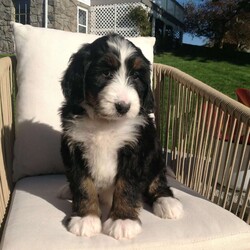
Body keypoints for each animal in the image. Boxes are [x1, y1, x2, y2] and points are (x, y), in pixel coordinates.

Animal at [59, 34, 183, 239]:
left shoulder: (136, 149)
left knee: (157, 180)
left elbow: (126, 186)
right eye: (106, 73)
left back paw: (167, 202)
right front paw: (86, 218)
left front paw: (123, 220)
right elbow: (83, 185)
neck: (105, 123)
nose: (123, 106)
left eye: (136, 76)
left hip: (155, 155)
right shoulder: (74, 146)